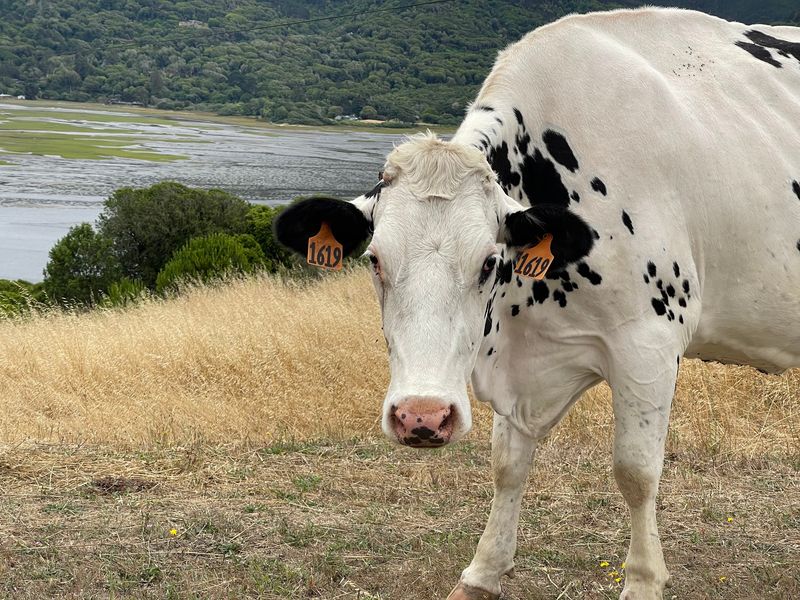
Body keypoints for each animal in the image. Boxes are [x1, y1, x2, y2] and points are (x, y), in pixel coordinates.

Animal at [275, 8, 800, 600]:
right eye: (374, 260)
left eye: (488, 261)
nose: (422, 417)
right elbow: (508, 464)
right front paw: (482, 573)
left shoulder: (649, 344)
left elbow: (636, 472)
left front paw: (643, 580)